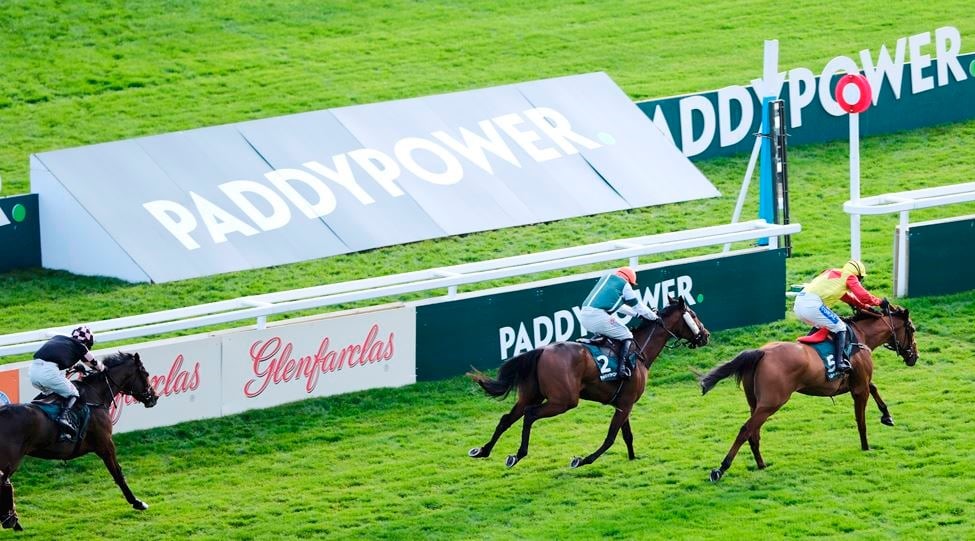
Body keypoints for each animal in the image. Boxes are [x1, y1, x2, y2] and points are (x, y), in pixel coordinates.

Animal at [0, 350, 158, 532]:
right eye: (146, 374)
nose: (154, 397)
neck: (96, 395)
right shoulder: (105, 444)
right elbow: (118, 474)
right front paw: (137, 502)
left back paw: (12, 520)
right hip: (10, 462)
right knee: (5, 484)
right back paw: (11, 520)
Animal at [468, 296, 708, 468]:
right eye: (694, 315)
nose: (705, 335)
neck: (640, 352)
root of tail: (542, 350)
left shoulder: (623, 403)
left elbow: (627, 435)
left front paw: (632, 458)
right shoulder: (626, 404)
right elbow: (611, 438)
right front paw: (582, 460)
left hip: (531, 394)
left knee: (507, 418)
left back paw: (482, 451)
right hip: (564, 401)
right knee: (530, 415)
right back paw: (518, 455)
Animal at [696, 304, 920, 480]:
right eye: (912, 329)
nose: (914, 357)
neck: (860, 337)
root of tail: (761, 352)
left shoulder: (859, 382)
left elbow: (874, 388)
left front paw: (887, 416)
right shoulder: (859, 388)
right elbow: (861, 420)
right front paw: (866, 447)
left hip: (756, 403)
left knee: (754, 433)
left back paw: (761, 464)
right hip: (771, 403)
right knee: (745, 430)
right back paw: (720, 469)